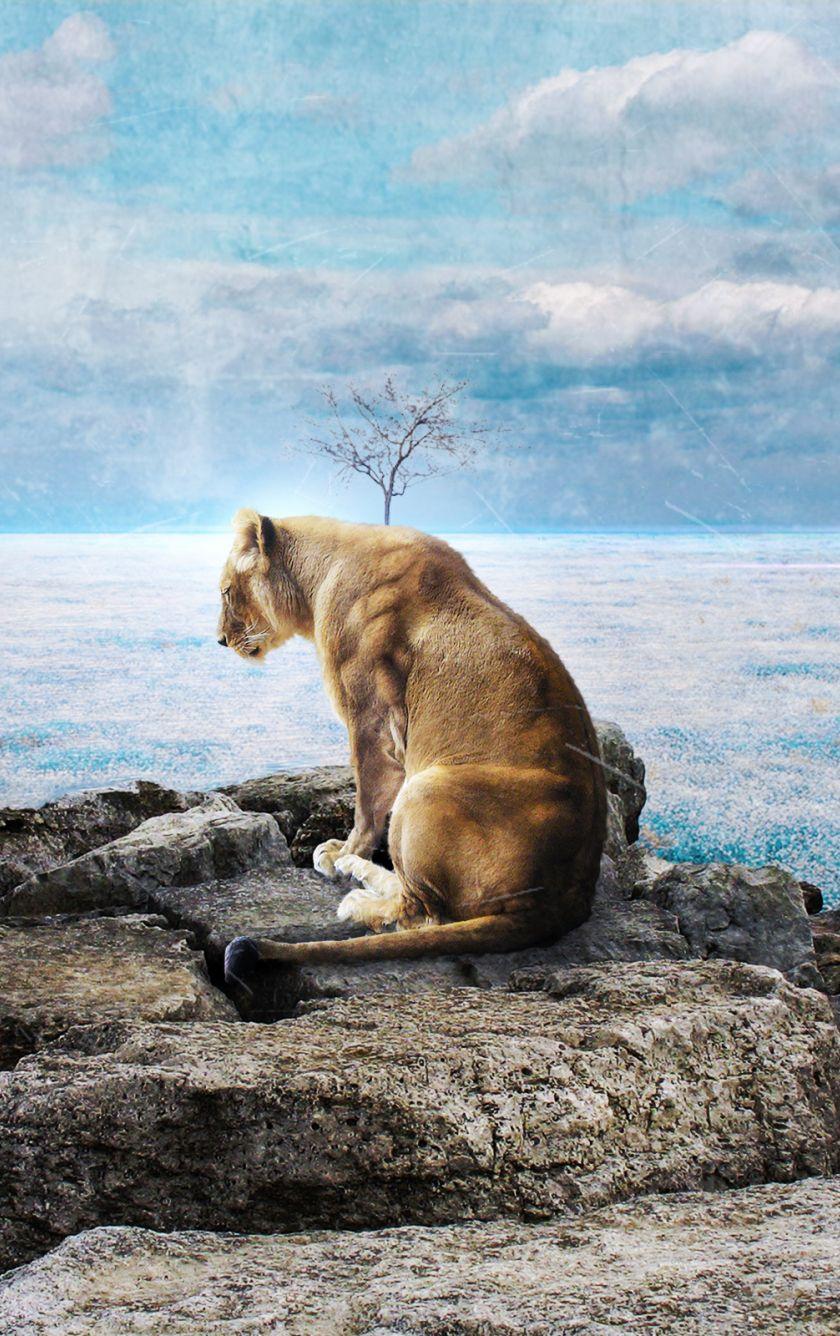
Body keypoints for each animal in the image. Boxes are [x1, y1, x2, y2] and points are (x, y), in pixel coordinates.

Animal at [218, 510, 606, 984]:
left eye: (226, 592)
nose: (220, 640)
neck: (320, 573)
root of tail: (564, 902)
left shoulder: (370, 718)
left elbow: (367, 802)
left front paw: (346, 851)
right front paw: (348, 855)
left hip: (424, 787)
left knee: (420, 912)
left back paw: (356, 893)